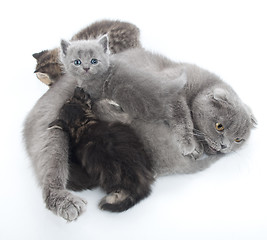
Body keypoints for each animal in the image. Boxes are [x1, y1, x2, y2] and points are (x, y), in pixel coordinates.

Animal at [59, 35, 256, 174]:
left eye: (238, 140)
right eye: (219, 126)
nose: (225, 147)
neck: (199, 86)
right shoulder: (171, 91)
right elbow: (183, 118)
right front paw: (190, 146)